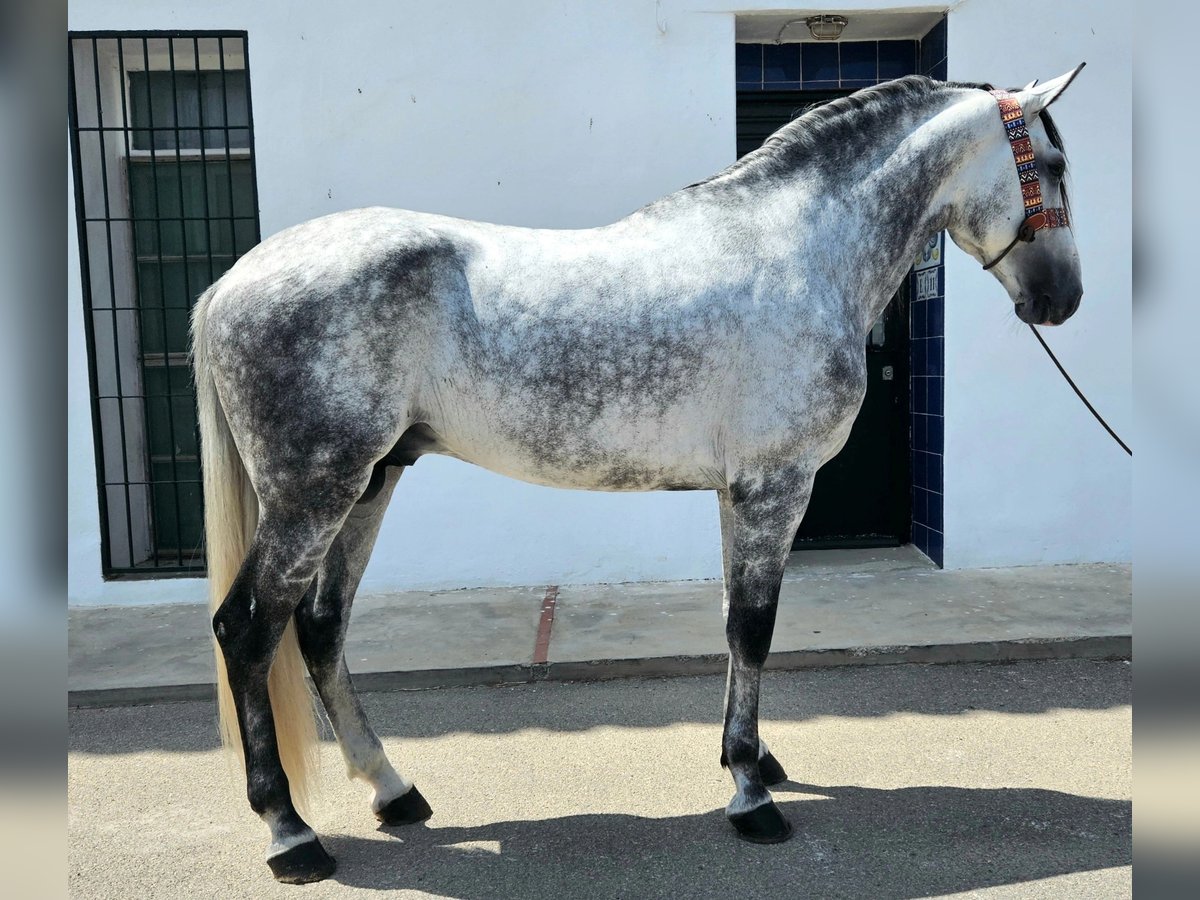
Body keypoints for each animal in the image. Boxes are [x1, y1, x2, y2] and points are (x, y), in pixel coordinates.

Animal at [189, 72, 1089, 888]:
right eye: (1052, 163)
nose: (1065, 299)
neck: (800, 249)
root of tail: (232, 282)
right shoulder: (775, 485)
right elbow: (754, 628)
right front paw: (752, 796)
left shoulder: (738, 491)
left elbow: (733, 623)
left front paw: (752, 758)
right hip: (313, 495)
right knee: (248, 630)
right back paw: (292, 833)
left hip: (370, 482)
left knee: (321, 627)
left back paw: (393, 789)